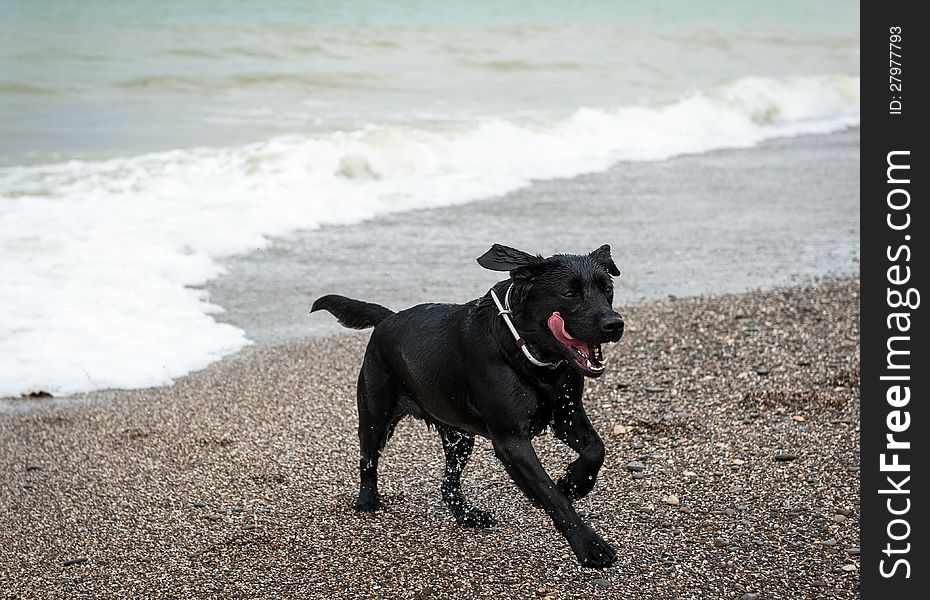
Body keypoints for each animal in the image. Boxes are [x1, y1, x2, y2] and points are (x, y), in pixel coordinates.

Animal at [310, 243, 624, 568]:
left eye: (608, 289)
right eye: (569, 293)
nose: (614, 324)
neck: (527, 353)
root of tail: (387, 318)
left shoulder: (566, 413)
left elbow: (596, 449)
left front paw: (575, 482)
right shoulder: (512, 441)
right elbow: (551, 495)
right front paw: (589, 545)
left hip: (458, 436)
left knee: (447, 485)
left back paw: (467, 516)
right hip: (376, 416)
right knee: (367, 461)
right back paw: (367, 501)